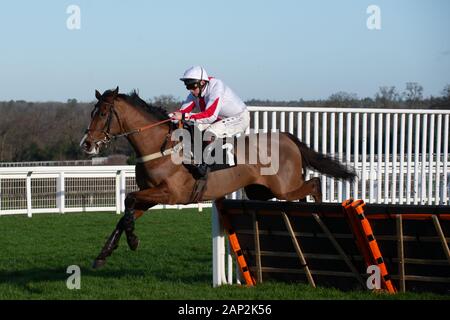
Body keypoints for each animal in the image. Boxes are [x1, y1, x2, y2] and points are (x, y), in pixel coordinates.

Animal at [80, 87, 356, 268]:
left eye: (103, 114)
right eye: (92, 112)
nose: (87, 144)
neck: (160, 146)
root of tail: (287, 137)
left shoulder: (170, 194)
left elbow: (128, 200)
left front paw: (133, 241)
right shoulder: (151, 197)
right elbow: (124, 215)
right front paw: (103, 254)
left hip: (283, 188)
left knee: (315, 184)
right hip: (262, 191)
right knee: (302, 193)